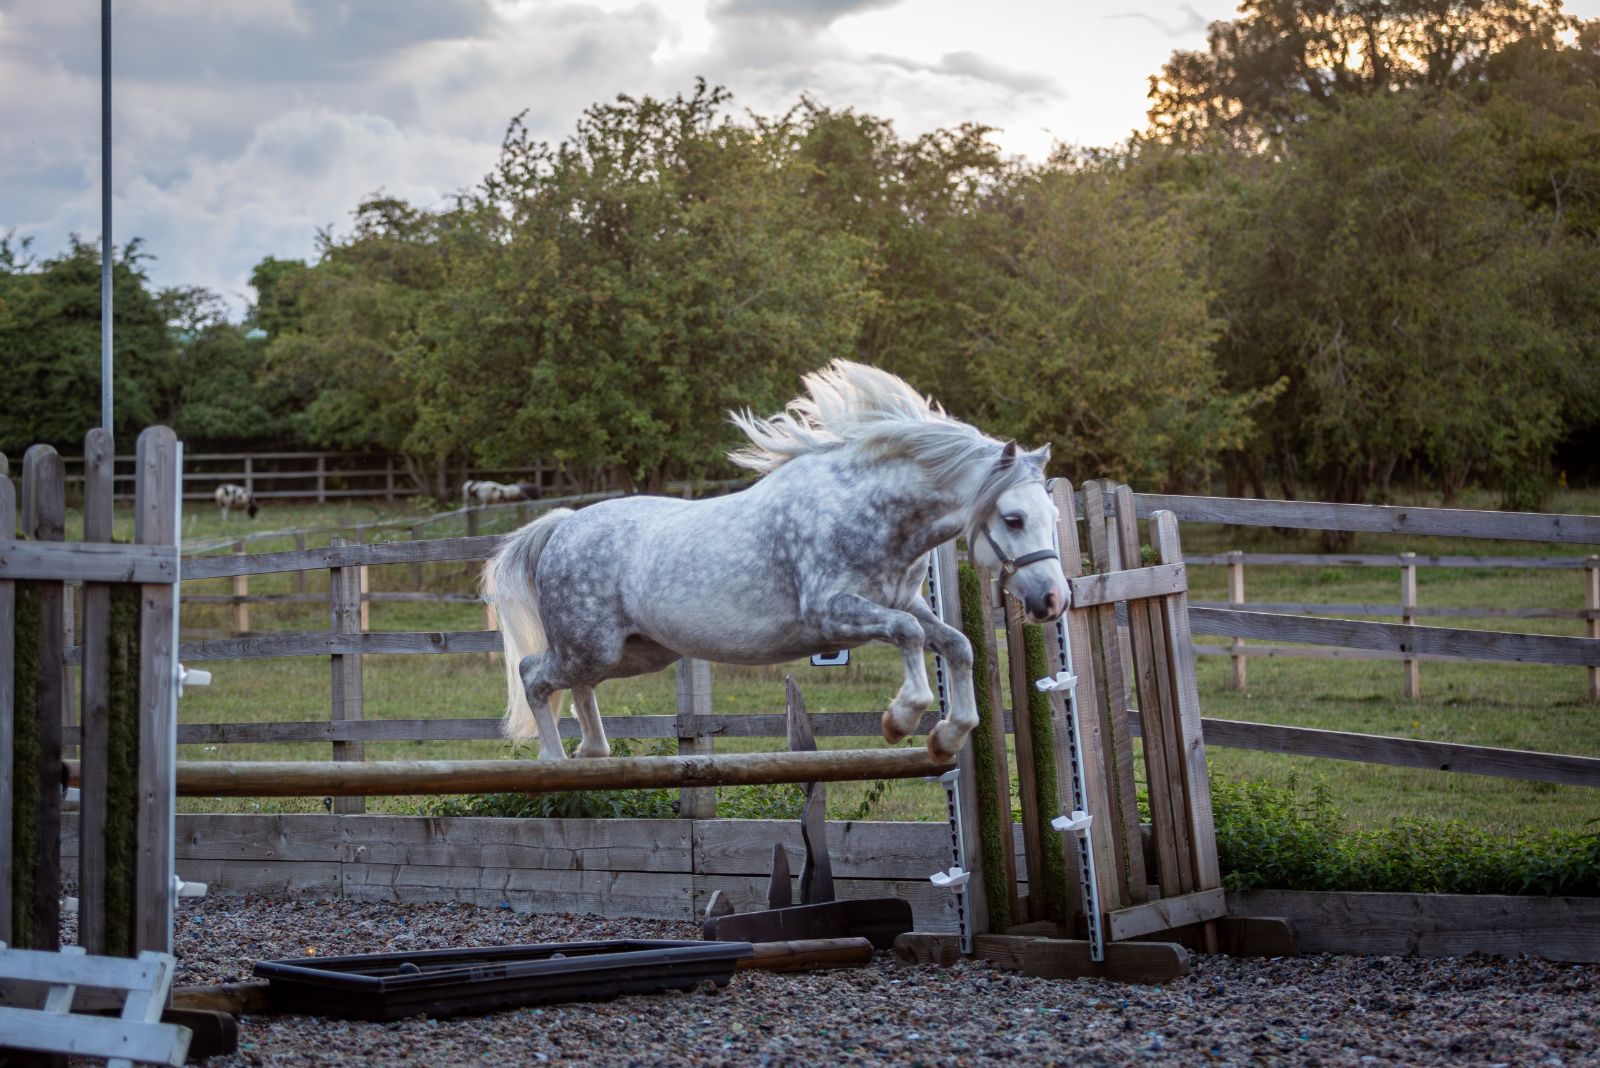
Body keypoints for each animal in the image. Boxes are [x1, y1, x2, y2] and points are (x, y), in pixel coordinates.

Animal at [480, 362, 1068, 764]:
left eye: (1053, 516)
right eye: (1014, 518)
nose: (1053, 601)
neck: (875, 511)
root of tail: (562, 527)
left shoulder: (902, 601)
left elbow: (956, 644)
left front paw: (947, 736)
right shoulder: (832, 613)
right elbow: (910, 635)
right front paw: (900, 719)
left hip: (637, 652)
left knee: (578, 685)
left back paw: (593, 752)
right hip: (592, 645)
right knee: (534, 674)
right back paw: (553, 758)